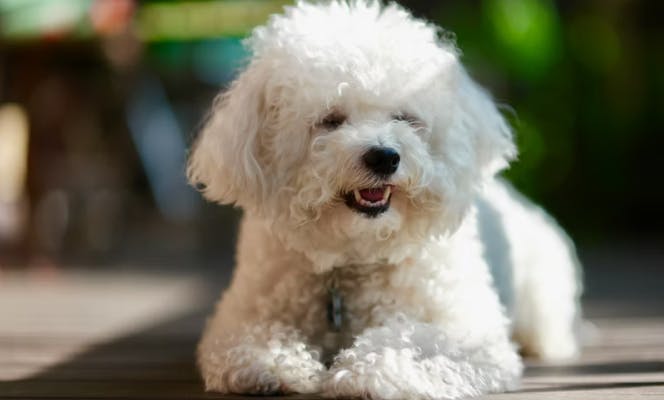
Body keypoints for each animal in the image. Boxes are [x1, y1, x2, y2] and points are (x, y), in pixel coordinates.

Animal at [187, 1, 580, 398]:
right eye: (331, 120)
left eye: (404, 118)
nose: (384, 156)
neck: (356, 256)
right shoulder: (243, 313)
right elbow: (253, 337)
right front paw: (274, 363)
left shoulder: (467, 329)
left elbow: (412, 340)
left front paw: (368, 373)